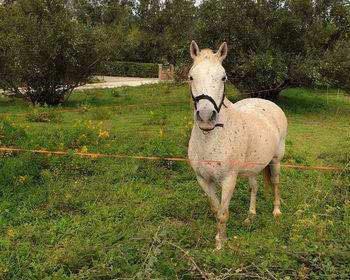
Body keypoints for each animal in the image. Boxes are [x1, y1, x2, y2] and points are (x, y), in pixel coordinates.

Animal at [189, 41, 288, 249]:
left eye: (223, 77)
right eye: (191, 76)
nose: (206, 117)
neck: (210, 139)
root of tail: (268, 102)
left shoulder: (228, 181)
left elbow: (222, 214)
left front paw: (221, 246)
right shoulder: (203, 180)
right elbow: (215, 210)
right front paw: (219, 239)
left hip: (276, 160)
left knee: (275, 182)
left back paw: (276, 212)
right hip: (253, 167)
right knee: (254, 187)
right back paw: (251, 216)